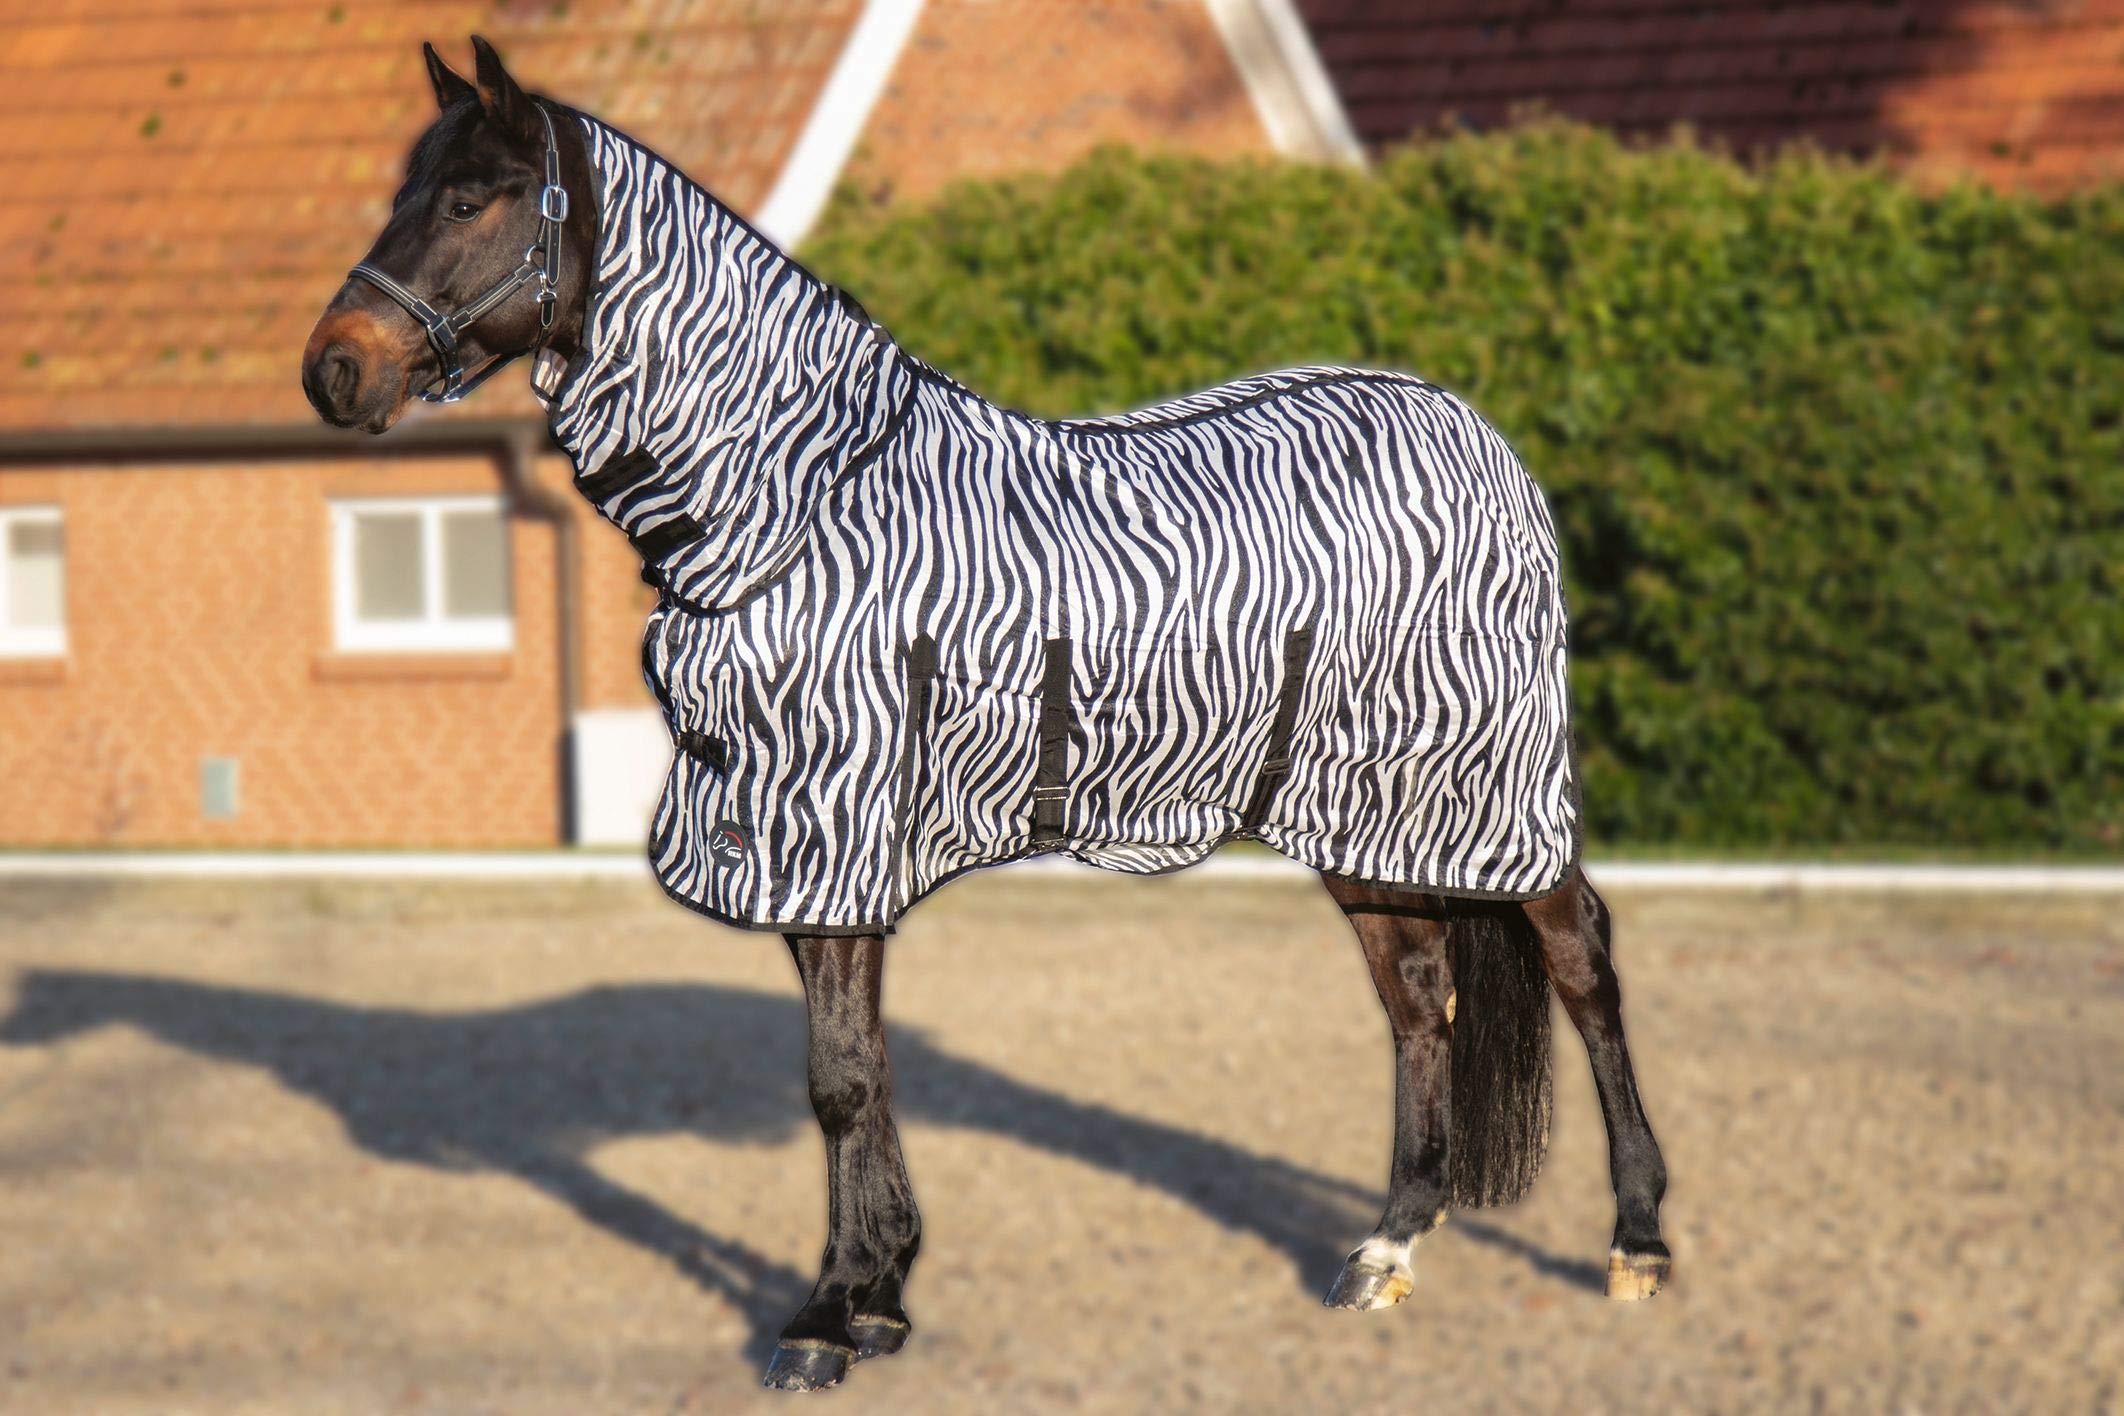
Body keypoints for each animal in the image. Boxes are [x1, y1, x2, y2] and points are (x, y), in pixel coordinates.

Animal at [303, 37, 1670, 1393]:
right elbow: (858, 1068)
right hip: (1363, 811)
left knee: (1584, 962)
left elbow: (840, 1082)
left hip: (1491, 785)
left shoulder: (833, 822)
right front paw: (881, 1297)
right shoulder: (800, 843)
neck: (796, 506)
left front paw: (823, 1320)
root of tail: (1475, 430)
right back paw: (1385, 1249)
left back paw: (1637, 1243)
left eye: (470, 200)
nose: (334, 371)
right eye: (403, 189)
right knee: (1420, 997)